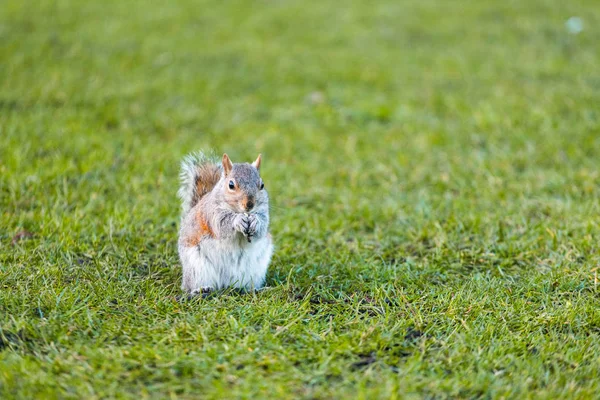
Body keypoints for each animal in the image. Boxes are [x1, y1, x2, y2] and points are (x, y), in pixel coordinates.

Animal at [177, 152, 274, 296]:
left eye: (262, 185)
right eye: (231, 185)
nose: (249, 204)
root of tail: (226, 284)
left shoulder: (263, 212)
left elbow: (261, 227)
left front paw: (255, 221)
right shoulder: (212, 213)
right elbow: (221, 225)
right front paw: (238, 220)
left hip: (255, 270)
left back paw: (255, 289)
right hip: (196, 268)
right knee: (189, 287)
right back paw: (201, 290)